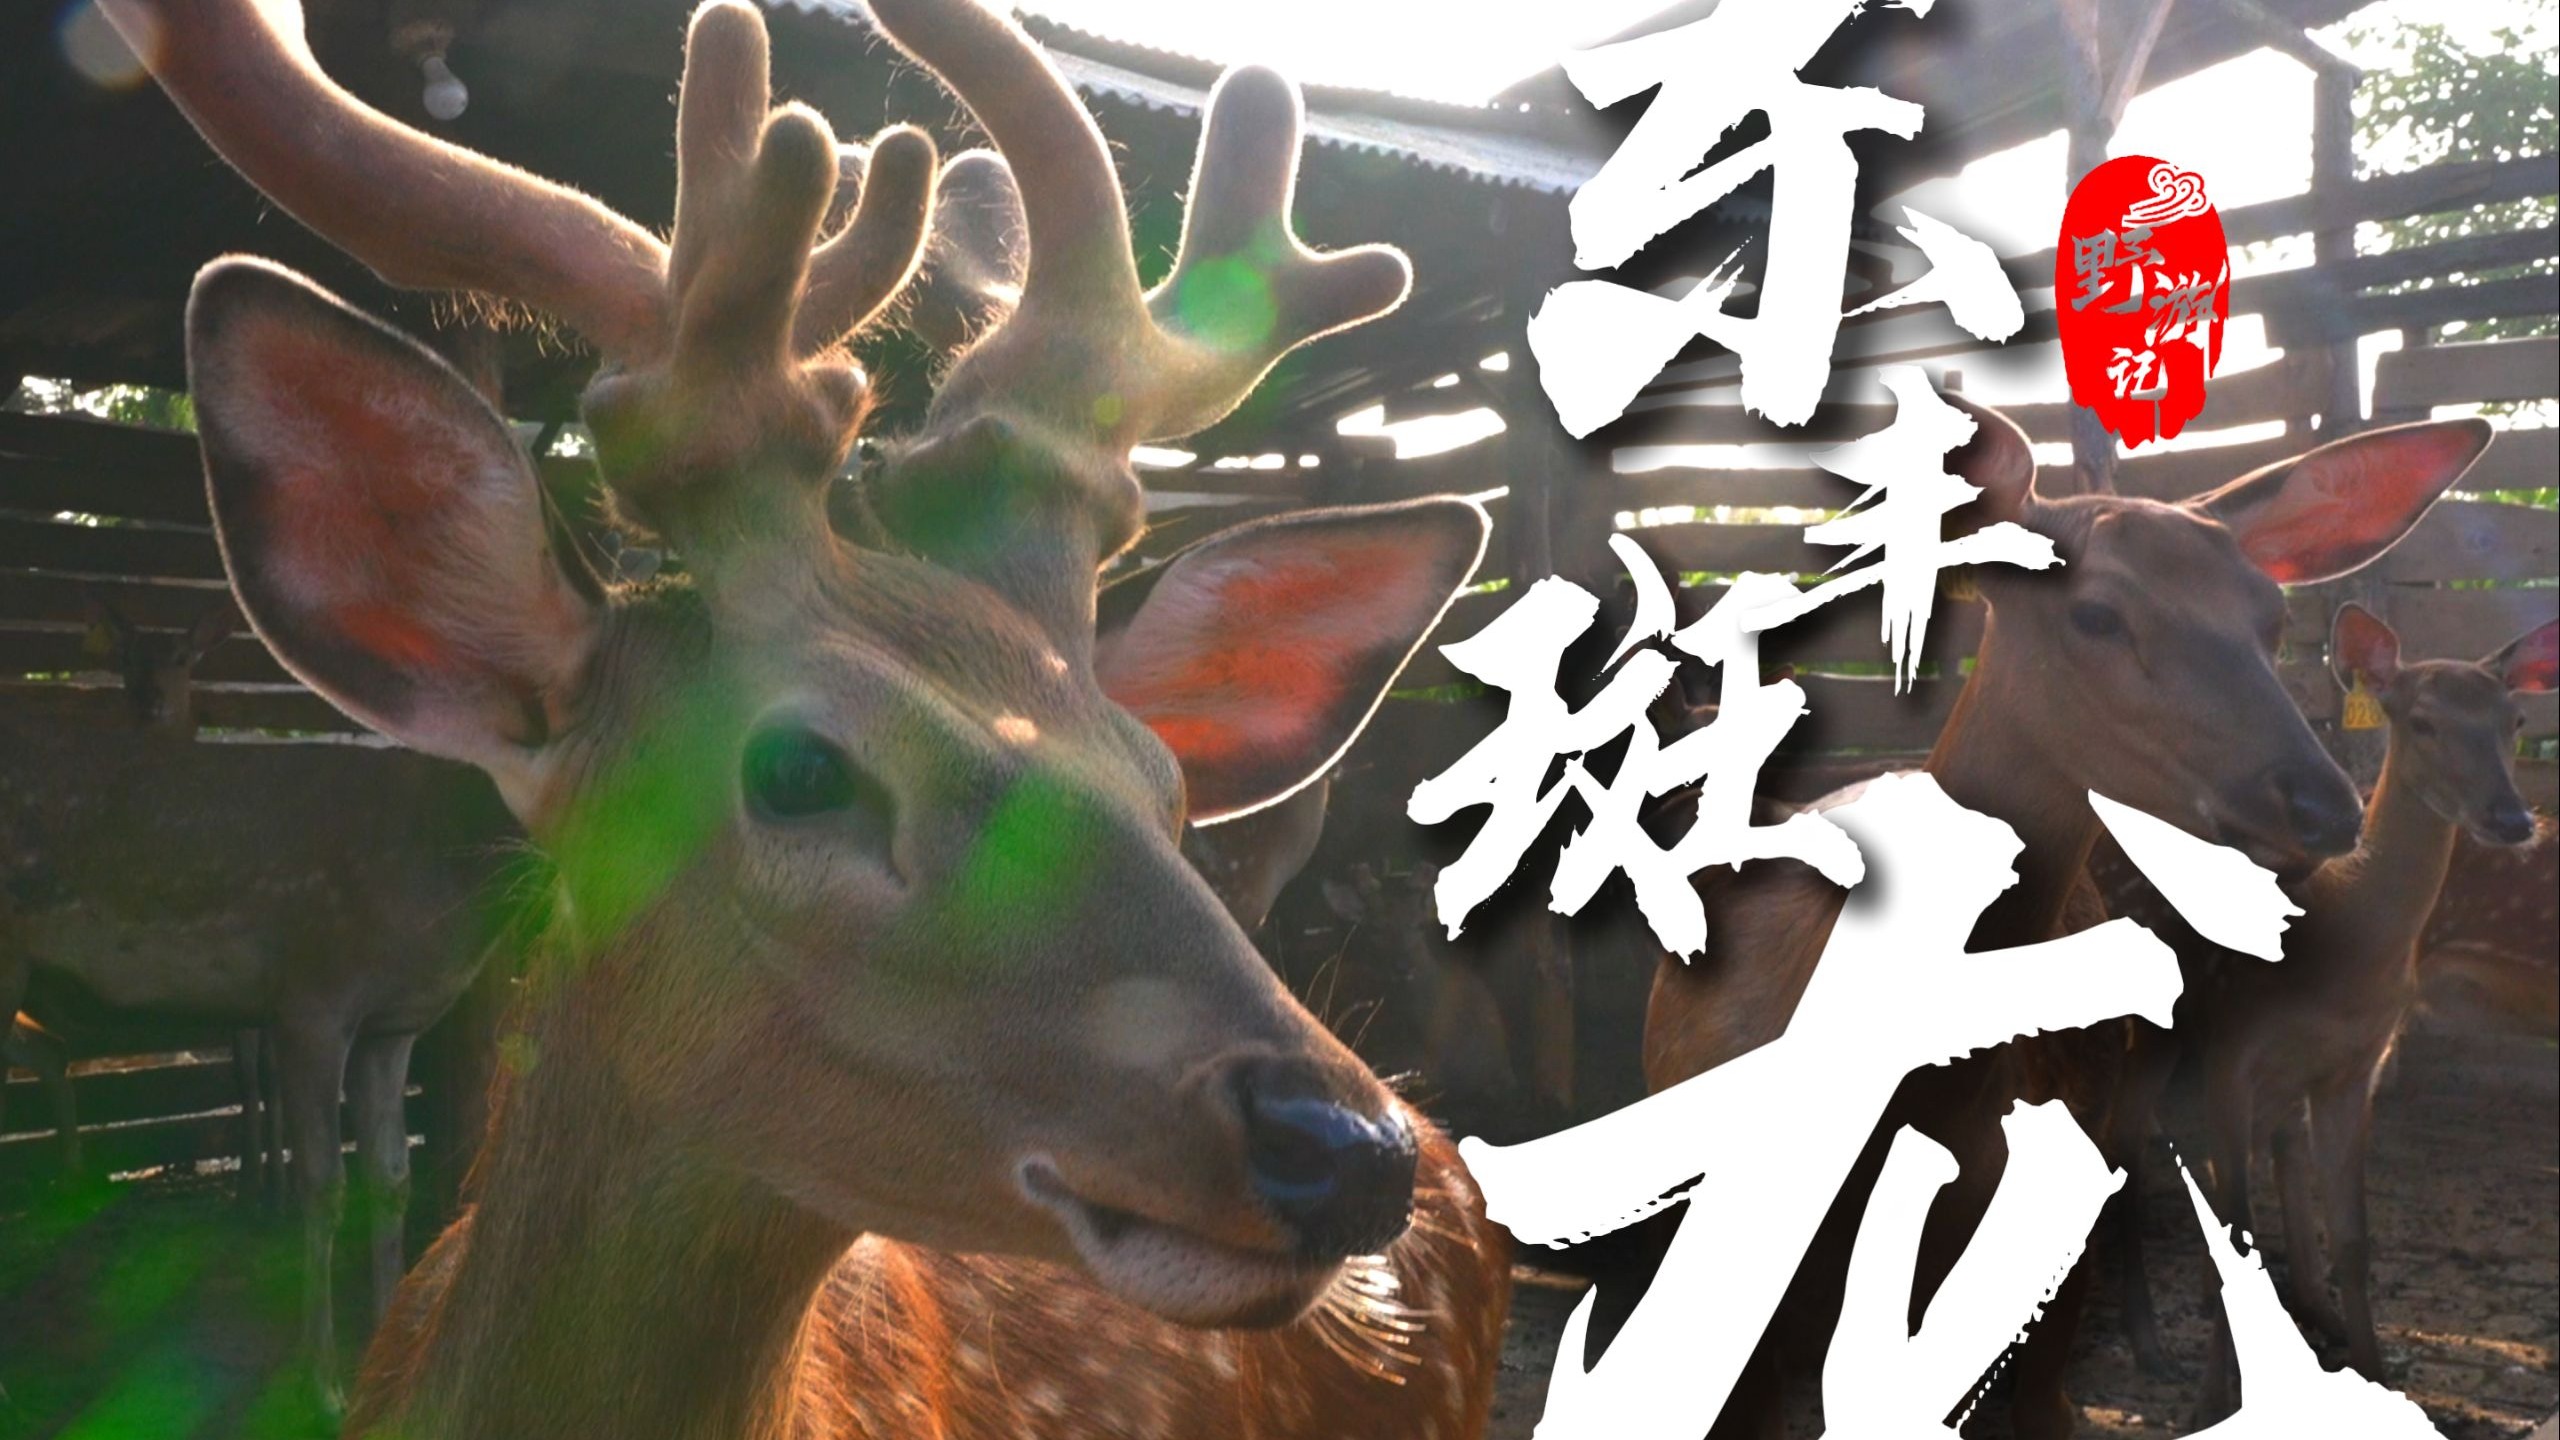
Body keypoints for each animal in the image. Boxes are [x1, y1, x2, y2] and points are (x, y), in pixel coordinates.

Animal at [2097, 603, 2556, 1420]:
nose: (2511, 818)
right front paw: (2215, 1402)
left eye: (2515, 719)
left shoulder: (2353, 1068)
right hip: (2146, 1021)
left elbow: (2353, 1234)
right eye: (2422, 720)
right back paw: (2152, 1346)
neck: (2338, 941)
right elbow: (2239, 1227)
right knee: (2124, 1139)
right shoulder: (2232, 1048)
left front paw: (2375, 1373)